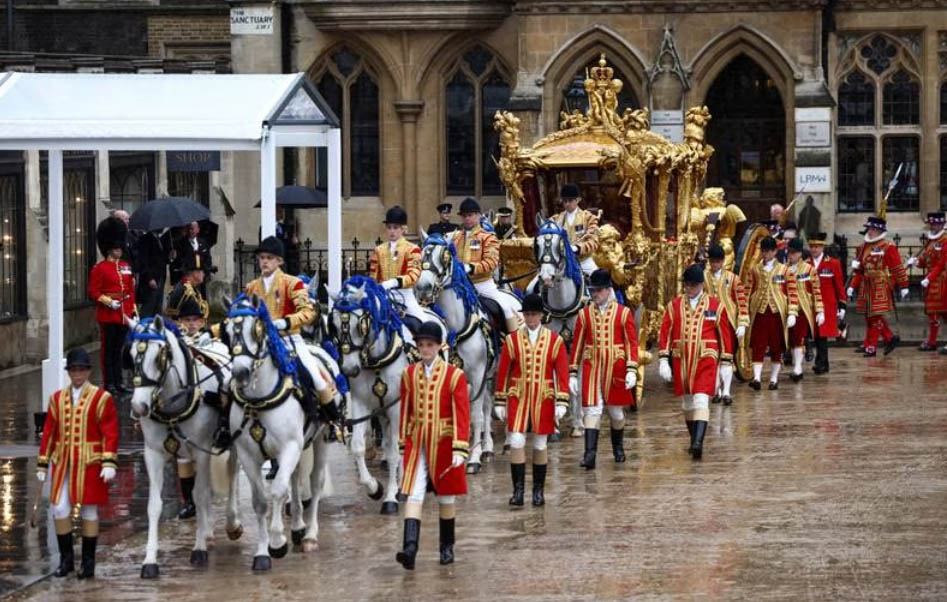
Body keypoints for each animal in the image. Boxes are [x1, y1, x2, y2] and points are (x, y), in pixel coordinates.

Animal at [128, 318, 243, 576]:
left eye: (159, 356)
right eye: (130, 355)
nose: (139, 407)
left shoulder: (202, 450)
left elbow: (200, 495)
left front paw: (198, 549)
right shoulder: (153, 454)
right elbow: (155, 506)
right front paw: (150, 560)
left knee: (231, 476)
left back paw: (231, 523)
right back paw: (208, 529)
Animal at [225, 292, 336, 568]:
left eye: (256, 329)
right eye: (228, 330)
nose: (240, 373)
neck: (258, 400)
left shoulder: (289, 447)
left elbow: (277, 492)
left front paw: (277, 542)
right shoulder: (249, 454)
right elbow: (260, 501)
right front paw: (262, 553)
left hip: (320, 439)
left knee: (314, 482)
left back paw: (310, 535)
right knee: (294, 480)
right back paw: (296, 526)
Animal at [330, 276, 418, 510]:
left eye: (360, 325)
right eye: (333, 325)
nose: (350, 369)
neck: (377, 359)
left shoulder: (397, 407)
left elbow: (396, 450)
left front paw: (391, 497)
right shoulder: (362, 404)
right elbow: (358, 447)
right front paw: (374, 488)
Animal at [416, 232, 504, 472]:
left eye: (445, 257)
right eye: (422, 253)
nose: (423, 287)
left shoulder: (477, 374)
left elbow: (474, 416)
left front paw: (472, 459)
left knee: (489, 408)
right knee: (487, 406)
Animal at [528, 218, 588, 434]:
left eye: (559, 244)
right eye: (536, 244)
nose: (546, 278)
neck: (562, 306)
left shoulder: (579, 345)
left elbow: (577, 383)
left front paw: (579, 423)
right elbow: (554, 381)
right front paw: (553, 423)